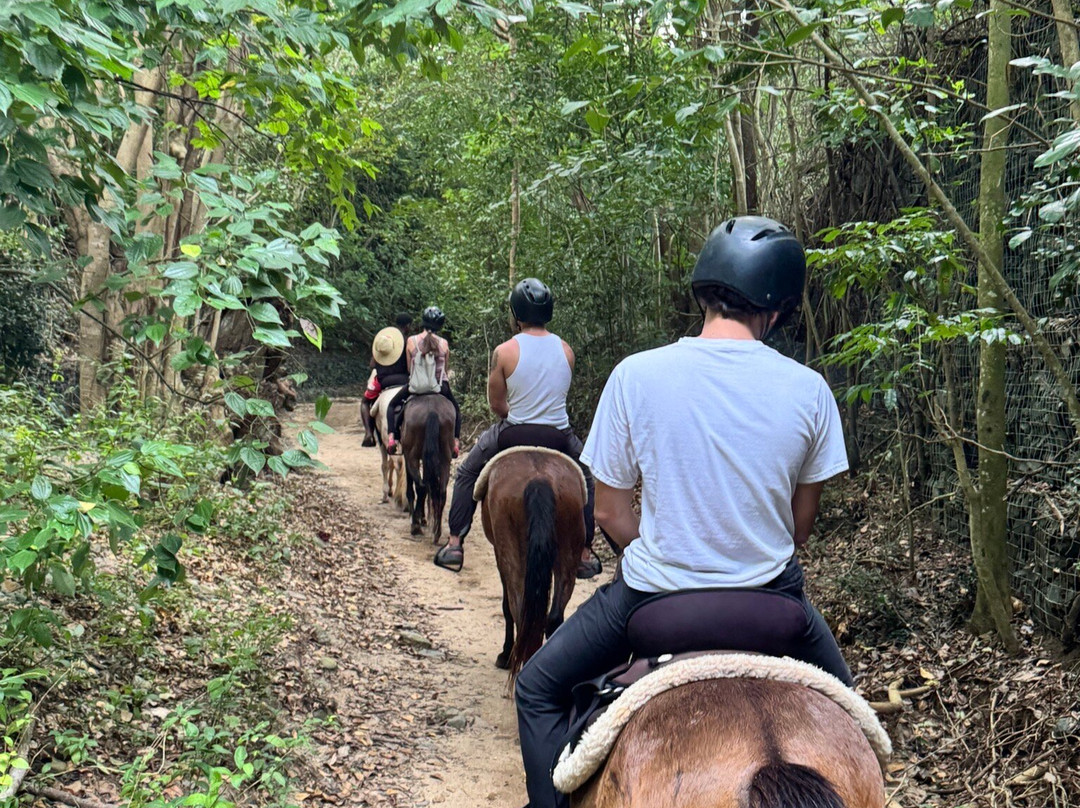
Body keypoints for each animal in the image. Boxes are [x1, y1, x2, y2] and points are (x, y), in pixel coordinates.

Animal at [400, 393, 456, 540]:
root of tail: (432, 411)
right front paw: (424, 518)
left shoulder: (407, 457)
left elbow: (411, 489)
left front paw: (418, 518)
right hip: (445, 459)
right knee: (441, 491)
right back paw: (436, 531)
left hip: (412, 457)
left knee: (421, 487)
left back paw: (415, 526)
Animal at [475, 447, 587, 675]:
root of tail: (539, 479)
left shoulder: (500, 556)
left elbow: (506, 607)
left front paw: (505, 656)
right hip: (569, 549)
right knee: (554, 616)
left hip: (511, 553)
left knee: (518, 610)